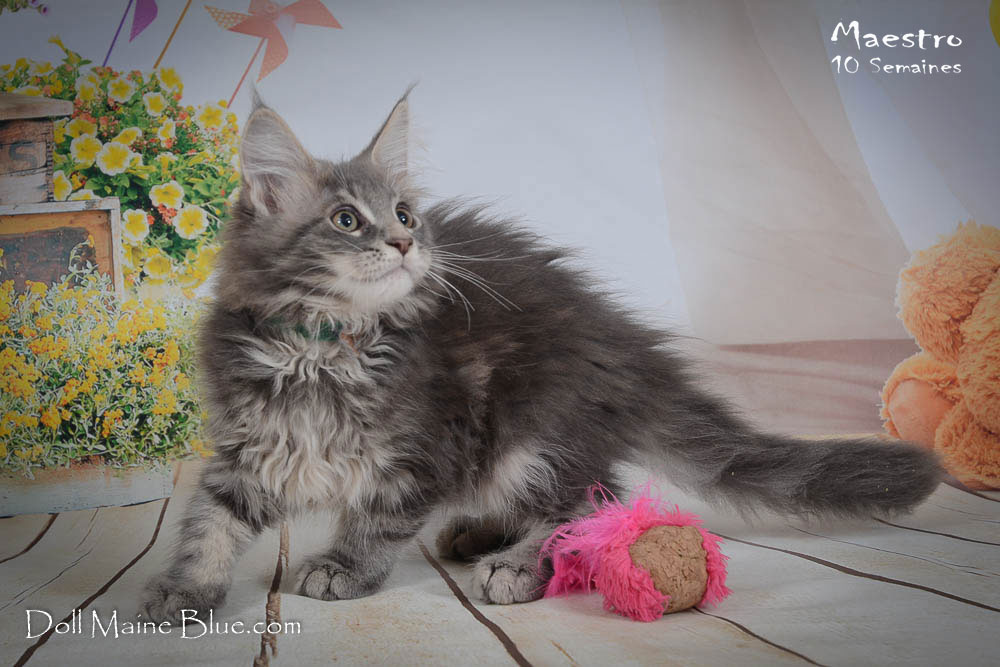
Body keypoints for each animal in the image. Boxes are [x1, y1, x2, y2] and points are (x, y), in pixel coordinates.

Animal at [141, 92, 941, 622]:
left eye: (404, 214)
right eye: (345, 219)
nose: (405, 244)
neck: (322, 347)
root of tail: (624, 343)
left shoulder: (423, 447)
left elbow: (376, 516)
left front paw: (344, 566)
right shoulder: (249, 446)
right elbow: (210, 520)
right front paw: (184, 588)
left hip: (534, 425)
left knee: (592, 499)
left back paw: (519, 563)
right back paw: (481, 532)